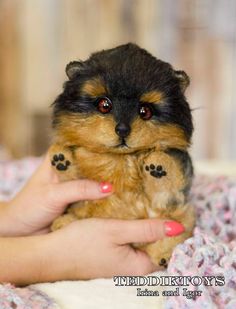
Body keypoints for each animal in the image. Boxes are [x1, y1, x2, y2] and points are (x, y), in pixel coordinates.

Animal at [48, 42, 195, 268]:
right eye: (104, 105)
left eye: (145, 111)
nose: (123, 129)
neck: (120, 159)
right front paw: (61, 158)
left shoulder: (171, 192)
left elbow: (169, 176)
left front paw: (157, 165)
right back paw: (63, 221)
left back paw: (163, 255)